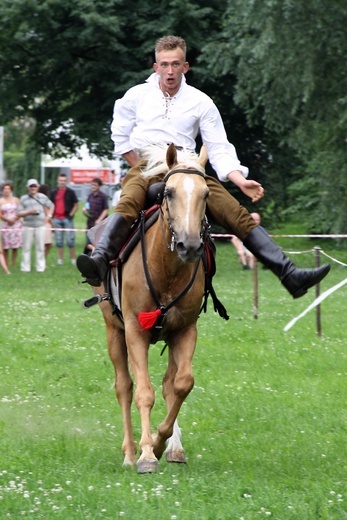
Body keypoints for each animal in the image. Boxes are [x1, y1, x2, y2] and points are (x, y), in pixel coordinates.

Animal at [94, 144, 209, 474]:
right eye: (169, 192)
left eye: (206, 194)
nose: (189, 245)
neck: (166, 269)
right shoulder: (135, 331)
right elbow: (143, 392)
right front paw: (146, 454)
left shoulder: (185, 330)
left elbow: (182, 384)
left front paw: (161, 442)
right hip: (114, 331)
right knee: (124, 387)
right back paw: (130, 452)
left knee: (170, 383)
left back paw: (173, 447)